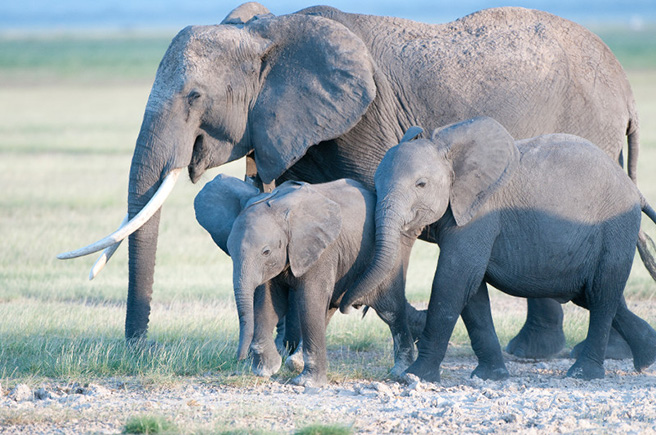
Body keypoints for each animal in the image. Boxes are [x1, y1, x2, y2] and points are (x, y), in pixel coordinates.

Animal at [59, 2, 644, 362]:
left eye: (195, 97)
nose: (139, 349)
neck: (268, 31)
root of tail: (625, 82)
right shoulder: (295, 128)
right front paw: (288, 345)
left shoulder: (364, 121)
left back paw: (546, 353)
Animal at [193, 175, 416, 386]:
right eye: (230, 251)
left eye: (266, 251)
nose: (239, 359)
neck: (279, 207)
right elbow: (268, 303)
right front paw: (267, 369)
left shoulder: (322, 250)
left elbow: (309, 301)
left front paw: (307, 382)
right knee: (329, 308)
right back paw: (295, 362)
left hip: (393, 256)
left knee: (390, 310)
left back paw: (401, 370)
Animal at [340, 117, 656, 384]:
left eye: (421, 184)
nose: (350, 306)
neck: (448, 150)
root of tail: (636, 191)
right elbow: (472, 292)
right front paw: (491, 376)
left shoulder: (480, 213)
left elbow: (454, 279)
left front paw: (414, 377)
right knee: (590, 294)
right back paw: (648, 359)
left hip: (615, 228)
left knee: (603, 294)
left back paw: (583, 374)